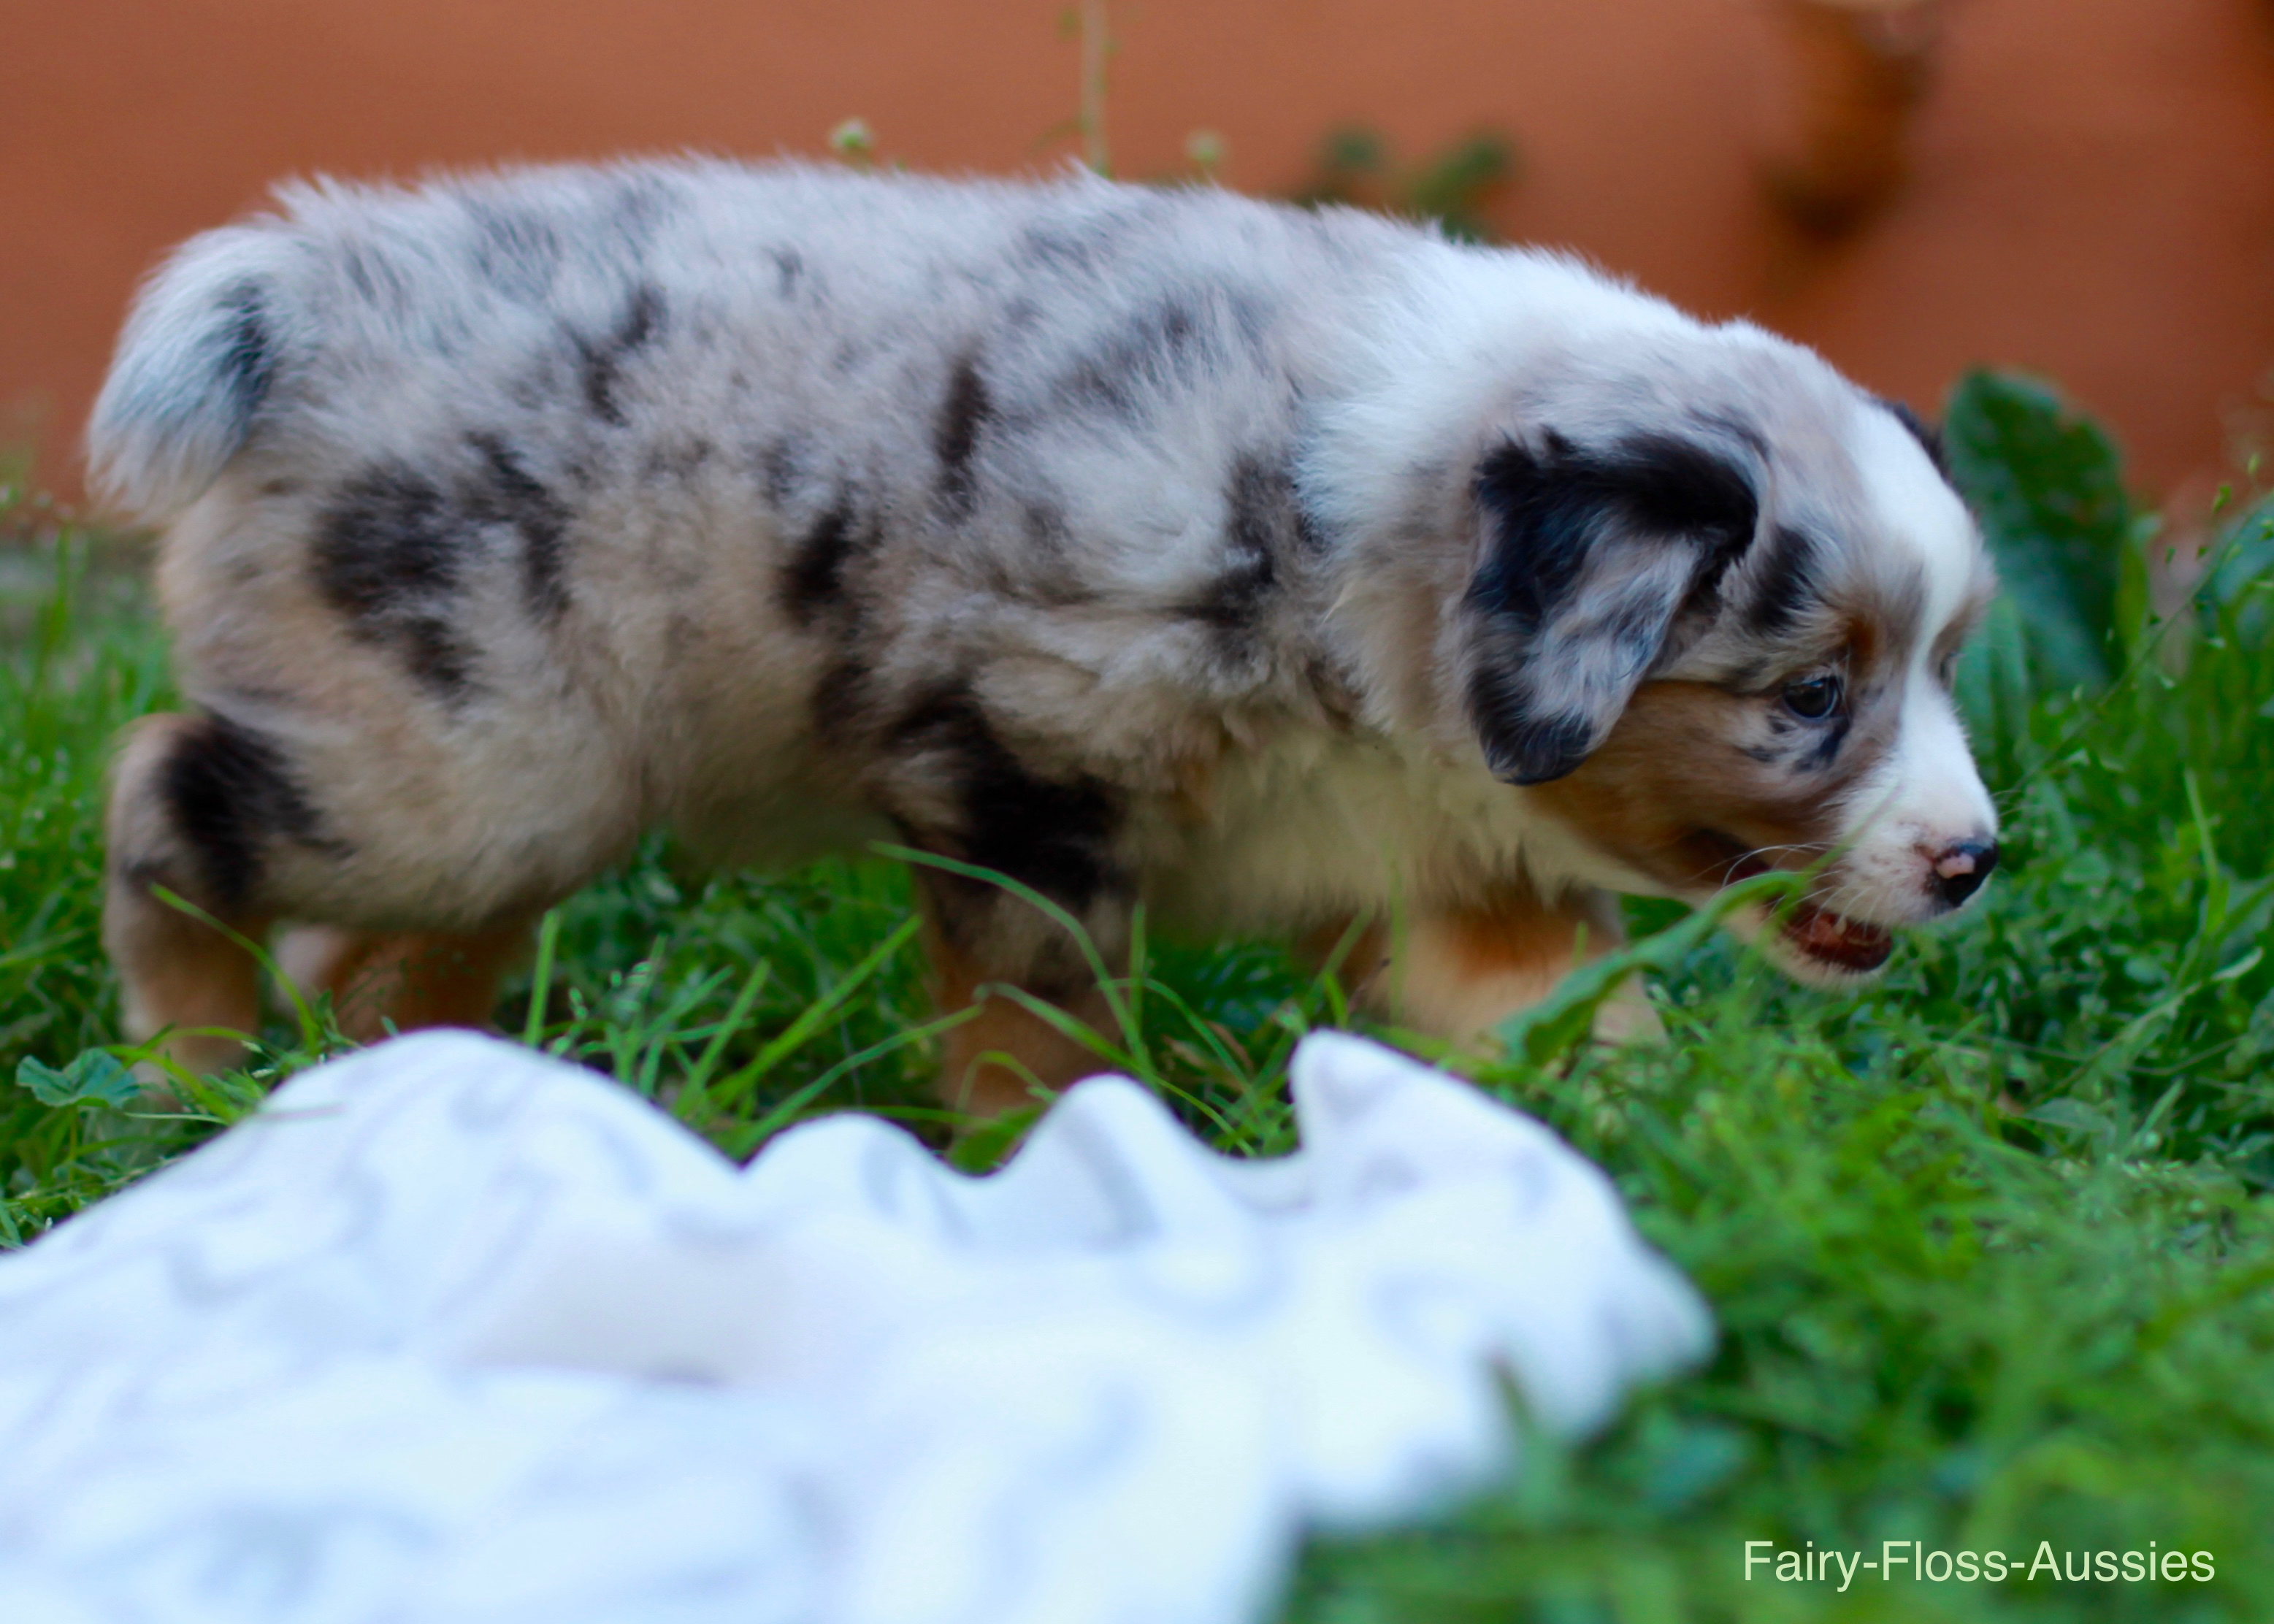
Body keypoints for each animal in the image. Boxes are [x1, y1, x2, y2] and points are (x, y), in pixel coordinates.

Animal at [93, 158, 1991, 1105]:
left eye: (1947, 664)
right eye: (1809, 694)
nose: (1973, 859)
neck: (1376, 527)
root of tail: (309, 291)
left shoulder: (1459, 869)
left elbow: (1570, 1027)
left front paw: (1663, 1169)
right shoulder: (1026, 792)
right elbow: (1041, 1048)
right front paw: (1036, 1186)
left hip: (490, 781)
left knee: (377, 950)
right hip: (471, 765)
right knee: (161, 790)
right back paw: (182, 1064)